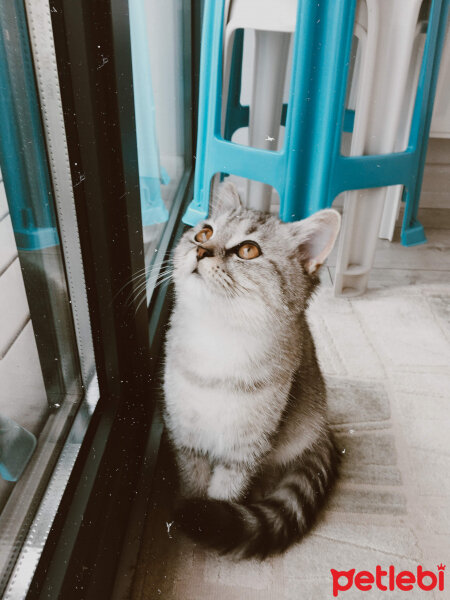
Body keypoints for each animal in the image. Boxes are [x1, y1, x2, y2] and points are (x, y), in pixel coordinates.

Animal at [164, 182, 342, 556]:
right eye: (204, 232)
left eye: (248, 250)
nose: (201, 250)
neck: (218, 342)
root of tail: (324, 431)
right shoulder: (186, 437)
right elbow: (192, 481)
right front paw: (190, 512)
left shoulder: (245, 449)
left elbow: (225, 491)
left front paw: (206, 518)